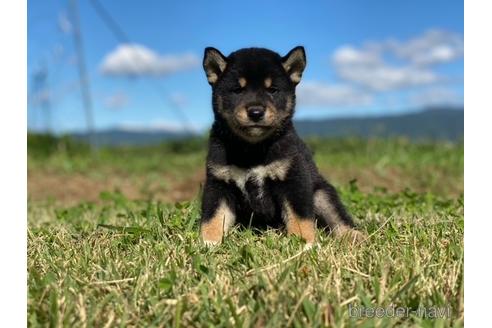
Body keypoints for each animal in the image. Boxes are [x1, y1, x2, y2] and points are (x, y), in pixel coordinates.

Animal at [200, 46, 362, 246]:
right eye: (237, 90)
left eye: (272, 90)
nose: (256, 112)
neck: (252, 150)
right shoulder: (219, 183)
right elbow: (213, 217)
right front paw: (208, 243)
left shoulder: (293, 179)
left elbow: (300, 217)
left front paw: (304, 243)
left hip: (322, 195)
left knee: (338, 218)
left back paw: (354, 236)